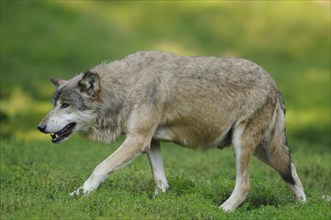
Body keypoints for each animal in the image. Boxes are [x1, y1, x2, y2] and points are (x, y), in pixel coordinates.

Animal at [37, 50, 308, 211]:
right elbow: (160, 180)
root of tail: (273, 84)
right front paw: (159, 204)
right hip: (261, 148)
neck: (128, 88)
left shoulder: (137, 140)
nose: (40, 127)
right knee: (292, 170)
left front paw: (78, 194)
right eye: (53, 104)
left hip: (242, 146)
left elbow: (99, 168)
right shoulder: (150, 141)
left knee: (245, 186)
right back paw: (302, 207)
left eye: (65, 105)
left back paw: (223, 210)